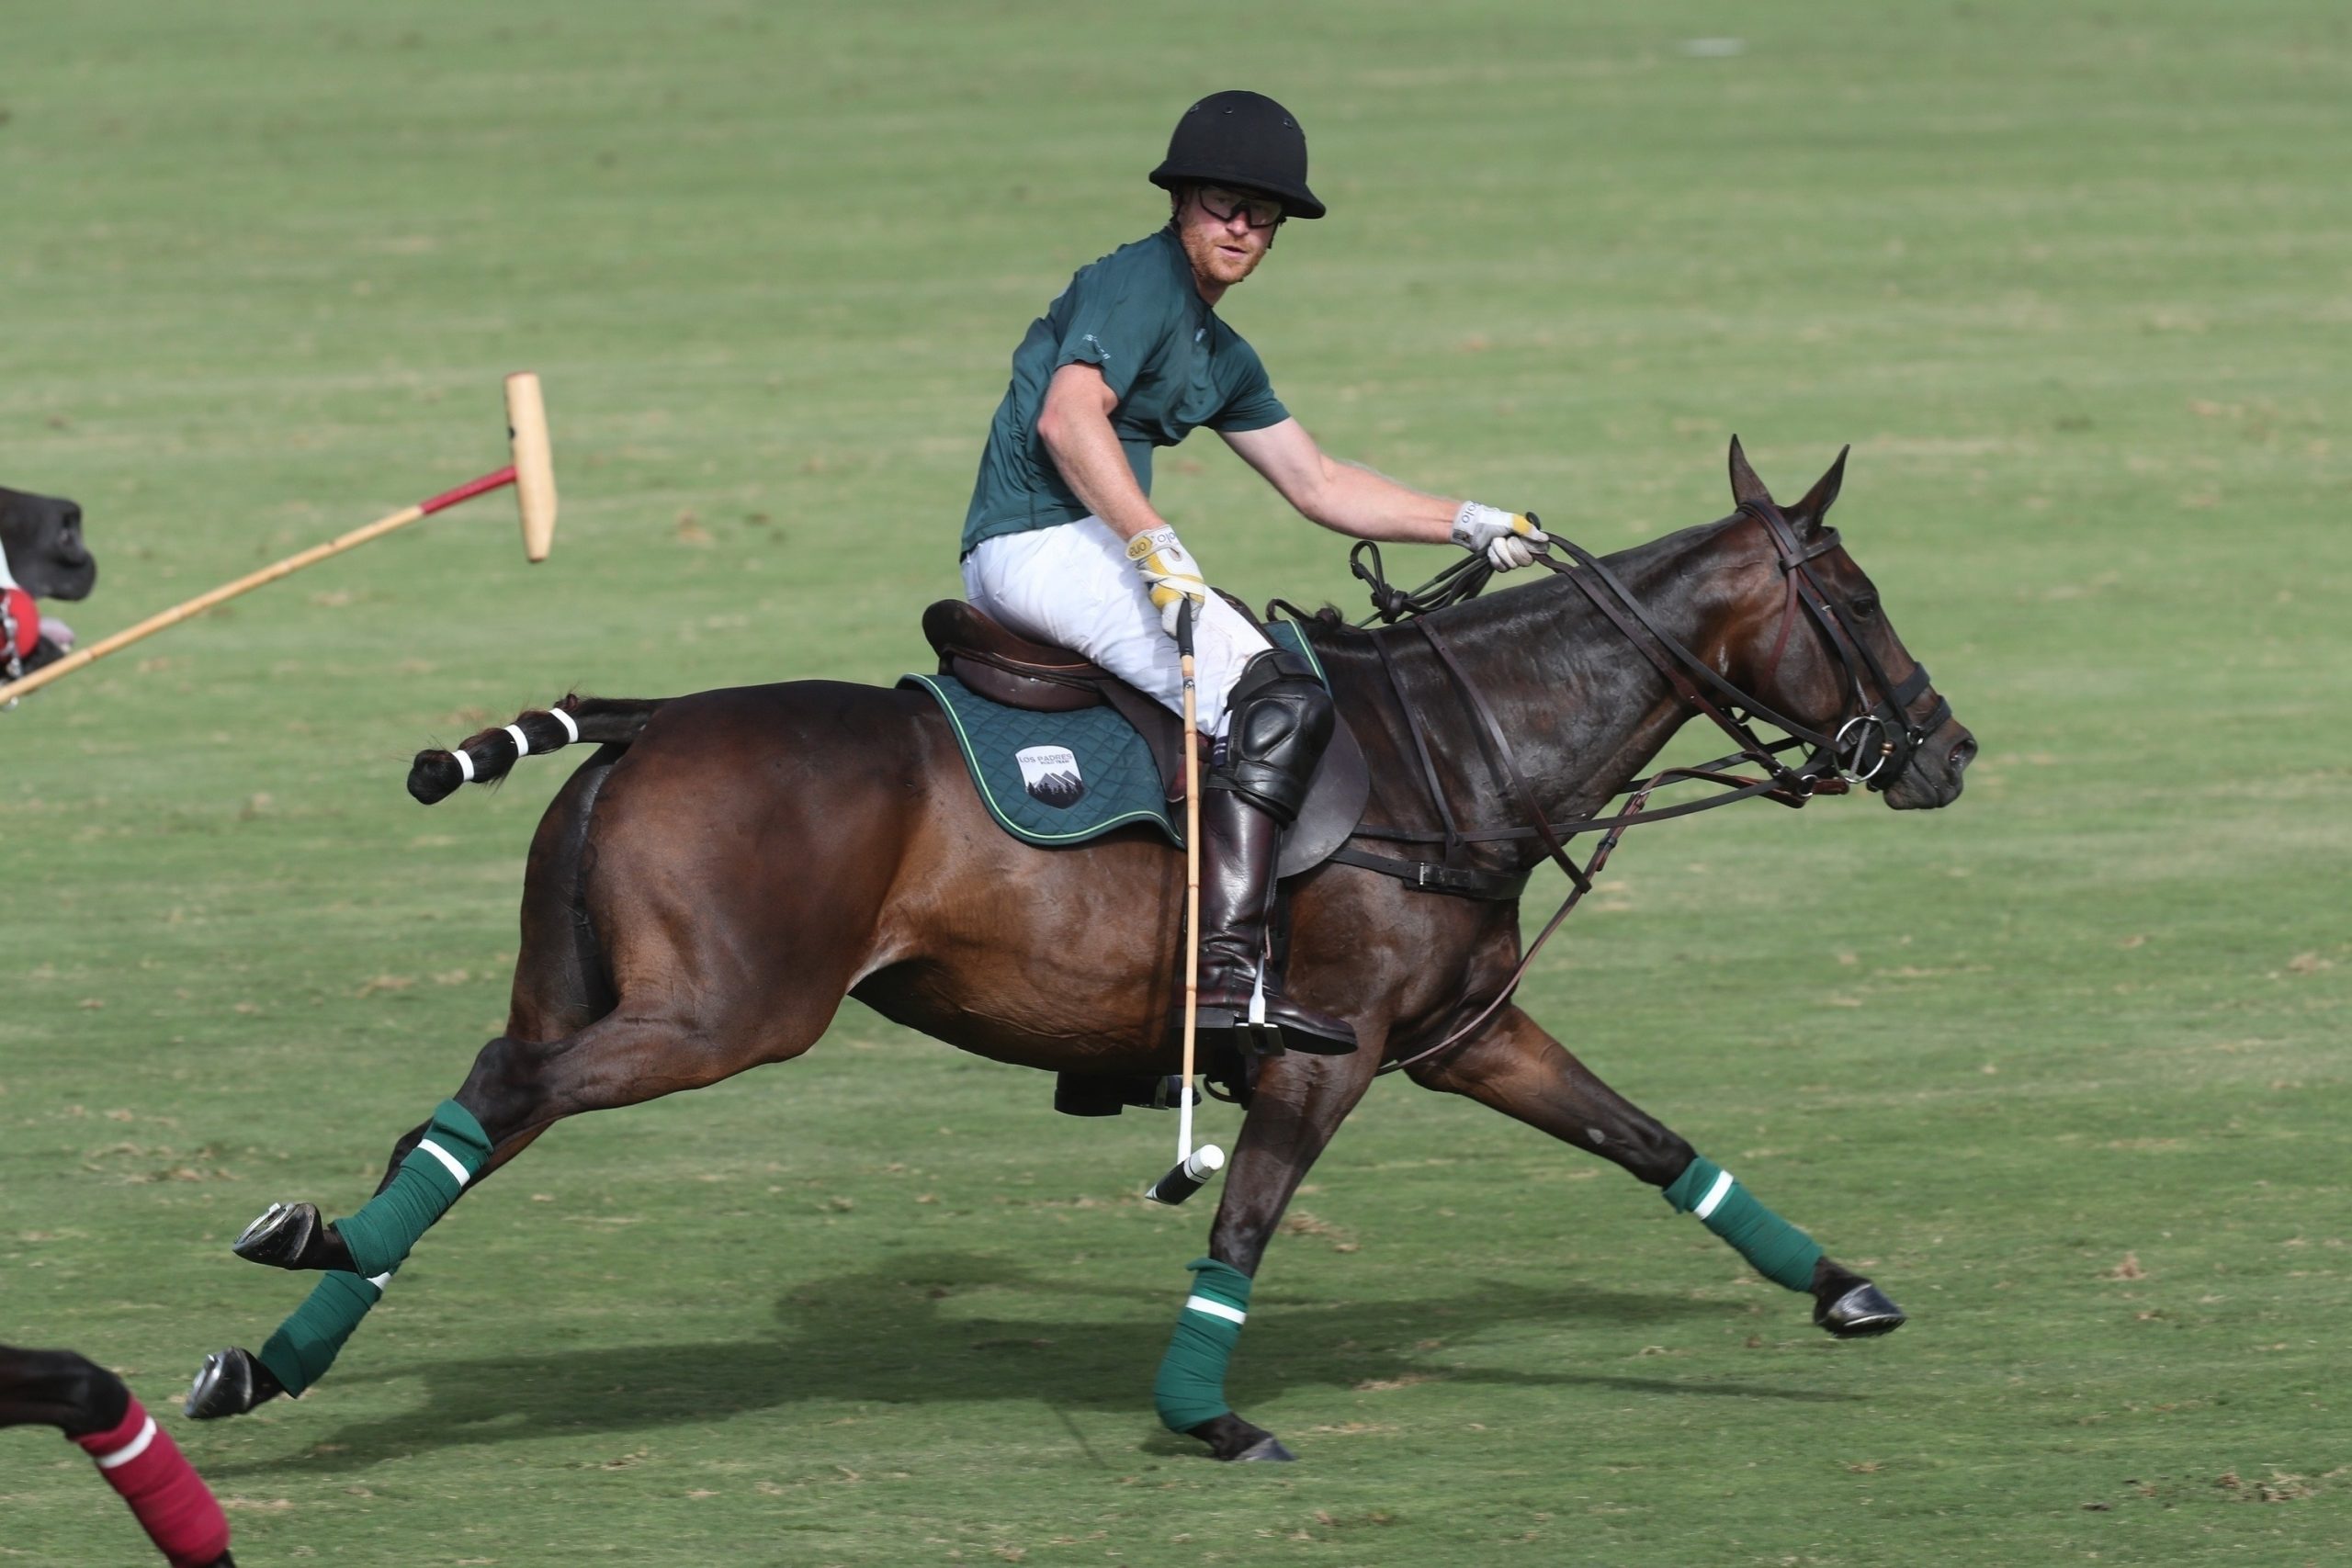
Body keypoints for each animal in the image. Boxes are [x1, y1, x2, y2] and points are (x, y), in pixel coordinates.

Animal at [192, 439, 1975, 1457]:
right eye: (1860, 596)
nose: (1948, 752)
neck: (1461, 750)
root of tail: (647, 721)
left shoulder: (1467, 1035)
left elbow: (1656, 1142)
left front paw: (1846, 1288)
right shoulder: (1333, 1054)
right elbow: (1245, 1220)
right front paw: (1204, 1416)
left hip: (591, 980)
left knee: (475, 1106)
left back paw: (286, 1319)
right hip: (722, 1012)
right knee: (507, 1094)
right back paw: (290, 1289)